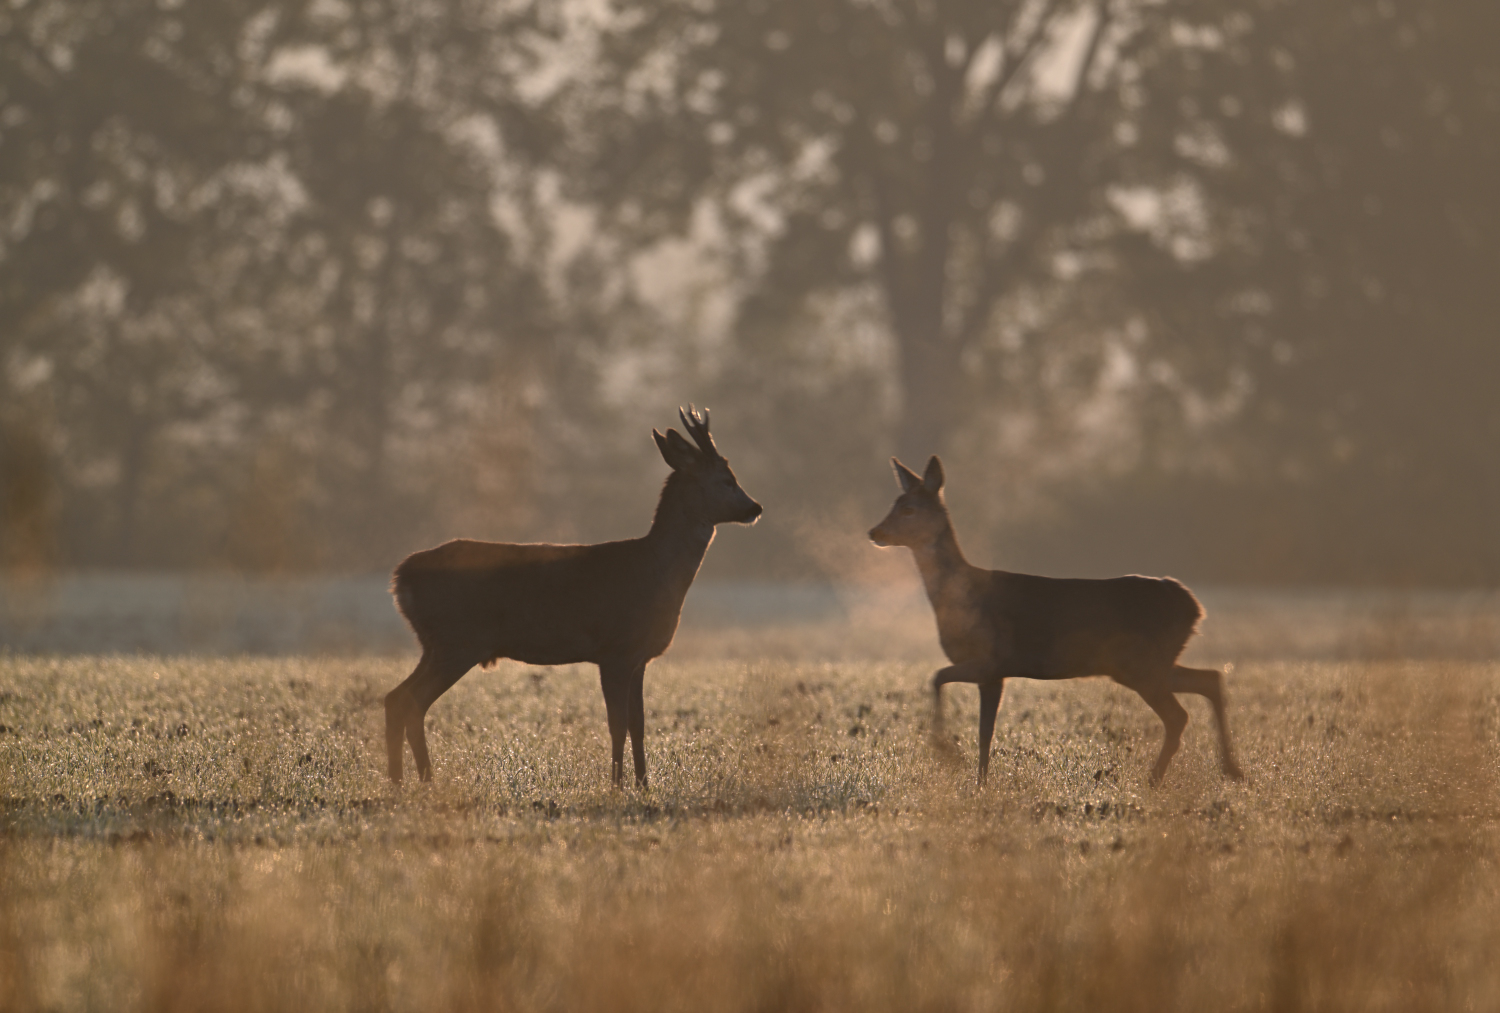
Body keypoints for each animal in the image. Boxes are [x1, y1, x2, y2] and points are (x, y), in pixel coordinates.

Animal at [387, 408, 762, 786]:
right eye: (727, 480)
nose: (755, 507)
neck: (655, 572)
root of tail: (401, 576)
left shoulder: (638, 657)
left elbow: (639, 725)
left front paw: (643, 784)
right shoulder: (615, 651)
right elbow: (617, 726)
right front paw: (617, 785)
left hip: (436, 644)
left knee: (395, 697)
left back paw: (400, 781)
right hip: (458, 640)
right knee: (411, 700)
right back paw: (424, 779)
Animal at [870, 456, 1242, 786]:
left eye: (908, 508)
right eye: (894, 502)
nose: (875, 531)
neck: (960, 598)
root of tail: (1194, 606)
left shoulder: (990, 659)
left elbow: (938, 680)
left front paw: (947, 753)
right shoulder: (994, 672)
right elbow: (984, 731)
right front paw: (981, 782)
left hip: (1140, 664)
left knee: (1179, 715)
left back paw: (1155, 779)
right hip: (1148, 664)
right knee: (1211, 679)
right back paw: (1231, 770)